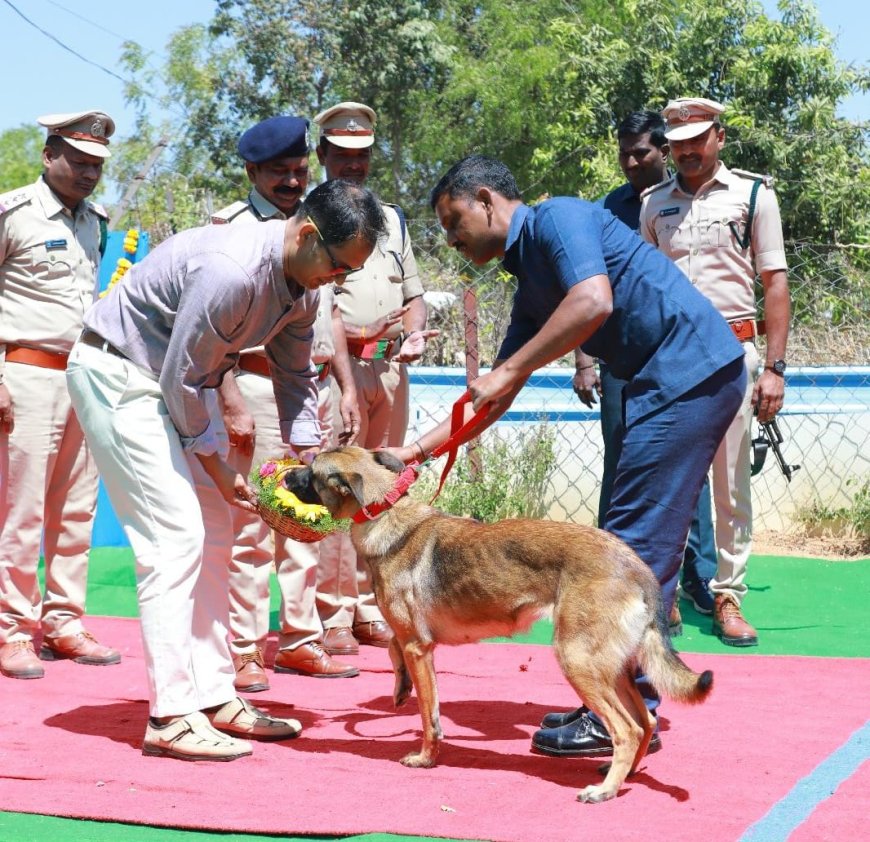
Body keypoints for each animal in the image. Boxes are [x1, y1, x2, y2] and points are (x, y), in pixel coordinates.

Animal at [288, 446, 716, 800]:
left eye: (311, 468)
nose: (285, 475)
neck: (386, 513)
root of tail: (636, 566)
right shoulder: (415, 642)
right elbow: (394, 649)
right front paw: (399, 686)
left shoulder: (419, 647)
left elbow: (429, 716)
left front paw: (425, 758)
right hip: (615, 668)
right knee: (646, 721)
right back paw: (623, 774)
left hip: (578, 661)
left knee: (627, 729)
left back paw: (605, 790)